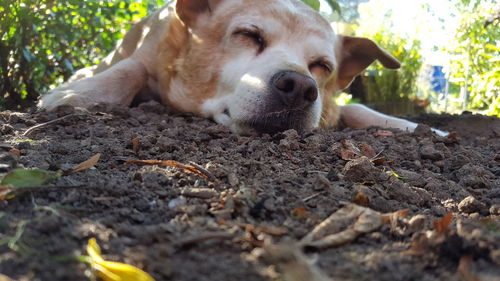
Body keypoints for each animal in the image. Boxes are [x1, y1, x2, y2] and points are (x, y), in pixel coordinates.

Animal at [37, 0, 448, 136]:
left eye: (321, 66)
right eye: (249, 35)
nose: (300, 87)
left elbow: (355, 107)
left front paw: (418, 127)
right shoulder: (146, 57)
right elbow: (133, 69)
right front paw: (78, 96)